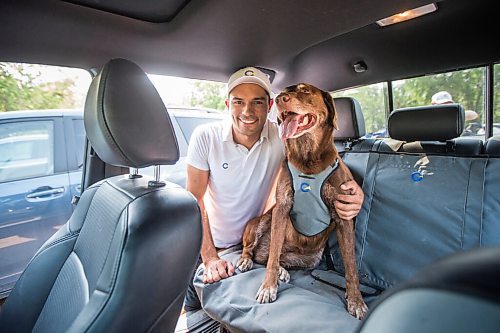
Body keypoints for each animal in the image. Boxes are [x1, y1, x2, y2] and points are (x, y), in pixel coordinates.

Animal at [236, 81, 370, 318]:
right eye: (282, 92)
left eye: (305, 90)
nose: (280, 99)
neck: (308, 158)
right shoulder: (281, 208)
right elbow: (272, 258)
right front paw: (268, 287)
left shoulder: (344, 216)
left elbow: (351, 267)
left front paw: (356, 301)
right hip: (261, 221)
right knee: (259, 251)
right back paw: (248, 260)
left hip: (310, 258)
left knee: (271, 256)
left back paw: (282, 270)